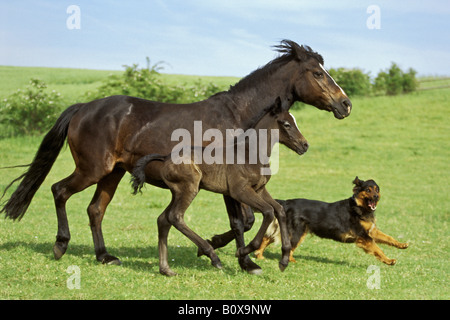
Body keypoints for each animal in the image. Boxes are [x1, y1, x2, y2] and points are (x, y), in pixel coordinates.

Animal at [130, 97, 310, 276]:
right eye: (286, 124)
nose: (305, 145)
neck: (249, 154)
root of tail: (165, 157)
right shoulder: (240, 191)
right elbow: (268, 212)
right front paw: (243, 251)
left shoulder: (259, 190)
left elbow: (279, 210)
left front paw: (284, 259)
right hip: (188, 188)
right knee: (175, 217)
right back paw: (212, 255)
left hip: (178, 192)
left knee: (163, 219)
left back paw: (166, 269)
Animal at [256, 178, 408, 264]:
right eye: (368, 190)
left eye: (377, 189)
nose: (376, 197)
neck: (358, 207)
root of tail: (286, 202)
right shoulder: (363, 237)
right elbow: (378, 249)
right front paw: (389, 261)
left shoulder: (371, 231)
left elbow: (388, 238)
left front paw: (402, 245)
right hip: (297, 232)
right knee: (287, 247)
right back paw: (291, 261)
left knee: (267, 238)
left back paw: (259, 255)